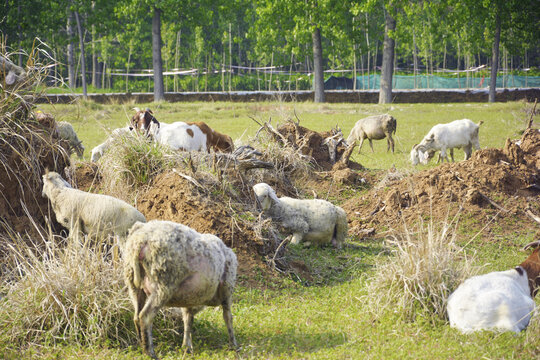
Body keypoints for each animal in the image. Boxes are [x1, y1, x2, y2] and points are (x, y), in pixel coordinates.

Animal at [125, 219, 239, 358]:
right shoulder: (226, 290)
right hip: (164, 283)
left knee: (136, 316)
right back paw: (150, 352)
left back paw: (141, 345)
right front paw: (233, 344)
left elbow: (188, 320)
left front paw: (187, 347)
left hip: (133, 283)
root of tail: (141, 240)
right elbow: (228, 317)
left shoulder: (190, 297)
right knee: (145, 317)